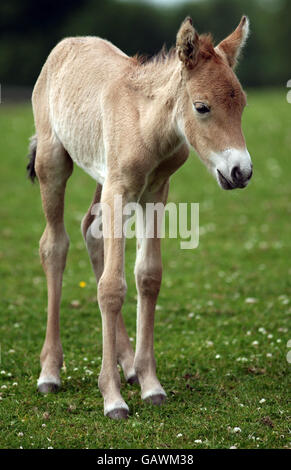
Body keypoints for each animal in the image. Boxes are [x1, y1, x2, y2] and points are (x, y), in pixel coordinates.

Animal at [28, 16, 254, 418]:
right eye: (202, 107)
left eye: (241, 103)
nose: (241, 172)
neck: (148, 123)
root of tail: (69, 43)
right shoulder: (119, 189)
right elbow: (111, 287)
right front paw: (112, 399)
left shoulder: (156, 192)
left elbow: (148, 277)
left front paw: (150, 384)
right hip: (53, 162)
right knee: (54, 245)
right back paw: (50, 373)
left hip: (103, 178)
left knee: (91, 231)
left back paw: (128, 365)